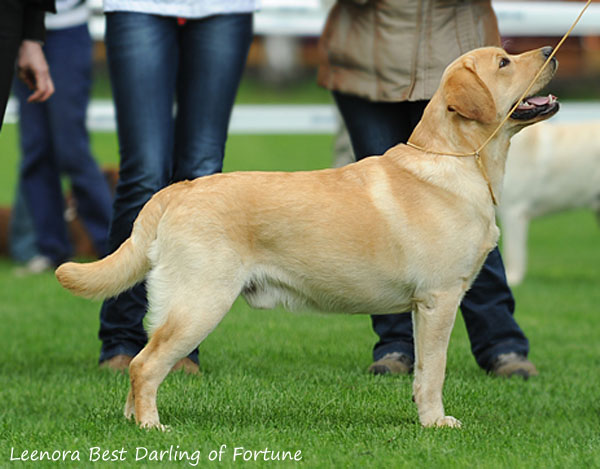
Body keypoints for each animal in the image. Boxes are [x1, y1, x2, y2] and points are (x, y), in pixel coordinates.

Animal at [55, 45, 556, 430]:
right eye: (504, 62)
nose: (550, 50)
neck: (457, 160)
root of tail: (179, 189)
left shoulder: (421, 306)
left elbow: (419, 373)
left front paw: (421, 415)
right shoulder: (440, 297)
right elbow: (435, 370)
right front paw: (435, 423)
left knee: (139, 365)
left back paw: (133, 422)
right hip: (200, 301)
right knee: (144, 365)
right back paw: (153, 427)